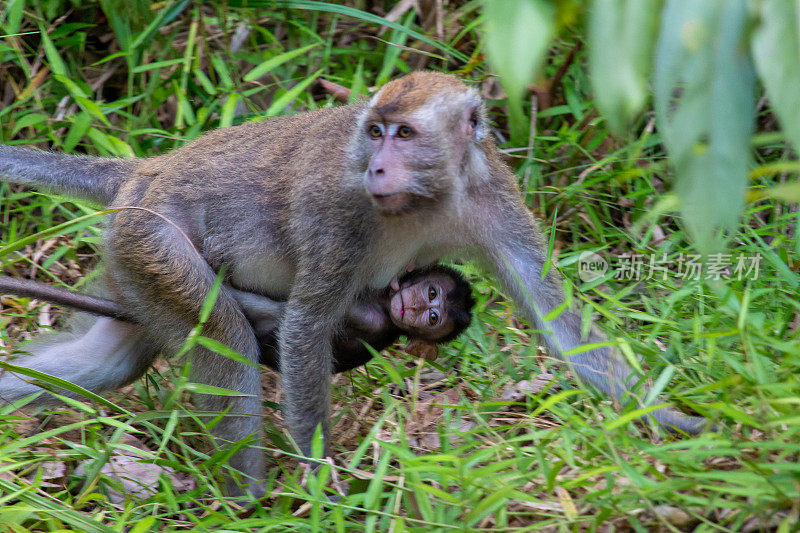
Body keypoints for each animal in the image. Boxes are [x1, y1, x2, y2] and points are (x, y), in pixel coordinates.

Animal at [0, 71, 708, 498]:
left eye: (406, 133)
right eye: (375, 131)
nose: (377, 167)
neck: (426, 200)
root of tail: (146, 171)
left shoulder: (493, 196)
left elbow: (560, 326)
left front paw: (671, 420)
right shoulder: (337, 211)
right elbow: (307, 327)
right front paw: (324, 486)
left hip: (132, 259)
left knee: (102, 363)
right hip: (154, 236)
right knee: (223, 334)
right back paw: (249, 500)